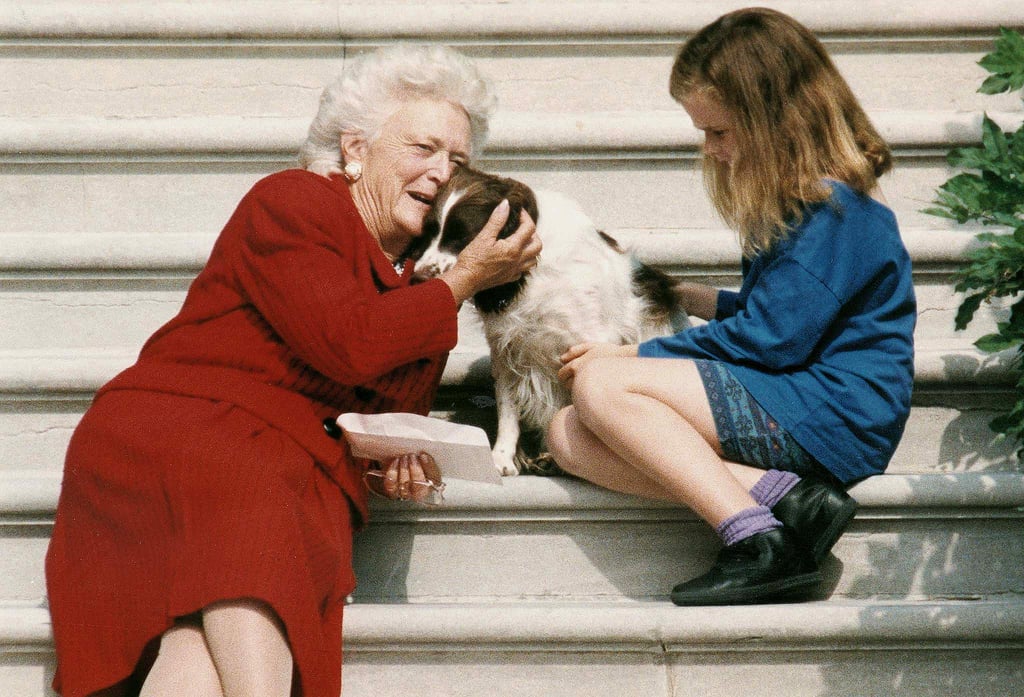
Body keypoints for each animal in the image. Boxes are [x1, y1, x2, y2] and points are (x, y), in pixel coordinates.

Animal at [407, 166, 688, 478]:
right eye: (429, 231)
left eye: (462, 237)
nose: (417, 278)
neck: (535, 270)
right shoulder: (506, 349)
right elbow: (507, 408)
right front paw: (502, 459)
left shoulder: (589, 344)